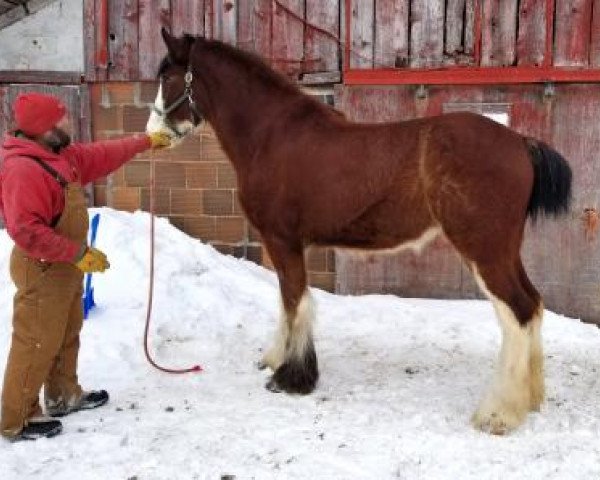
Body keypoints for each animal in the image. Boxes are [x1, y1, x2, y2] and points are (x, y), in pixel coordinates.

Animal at [149, 30, 572, 436]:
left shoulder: (283, 241)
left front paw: (292, 376)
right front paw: (277, 359)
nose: (154, 132)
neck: (272, 134)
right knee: (533, 305)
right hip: (504, 251)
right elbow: (287, 302)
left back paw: (499, 414)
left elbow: (295, 302)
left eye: (168, 77)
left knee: (517, 312)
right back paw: (530, 398)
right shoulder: (284, 245)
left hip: (484, 250)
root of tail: (520, 142)